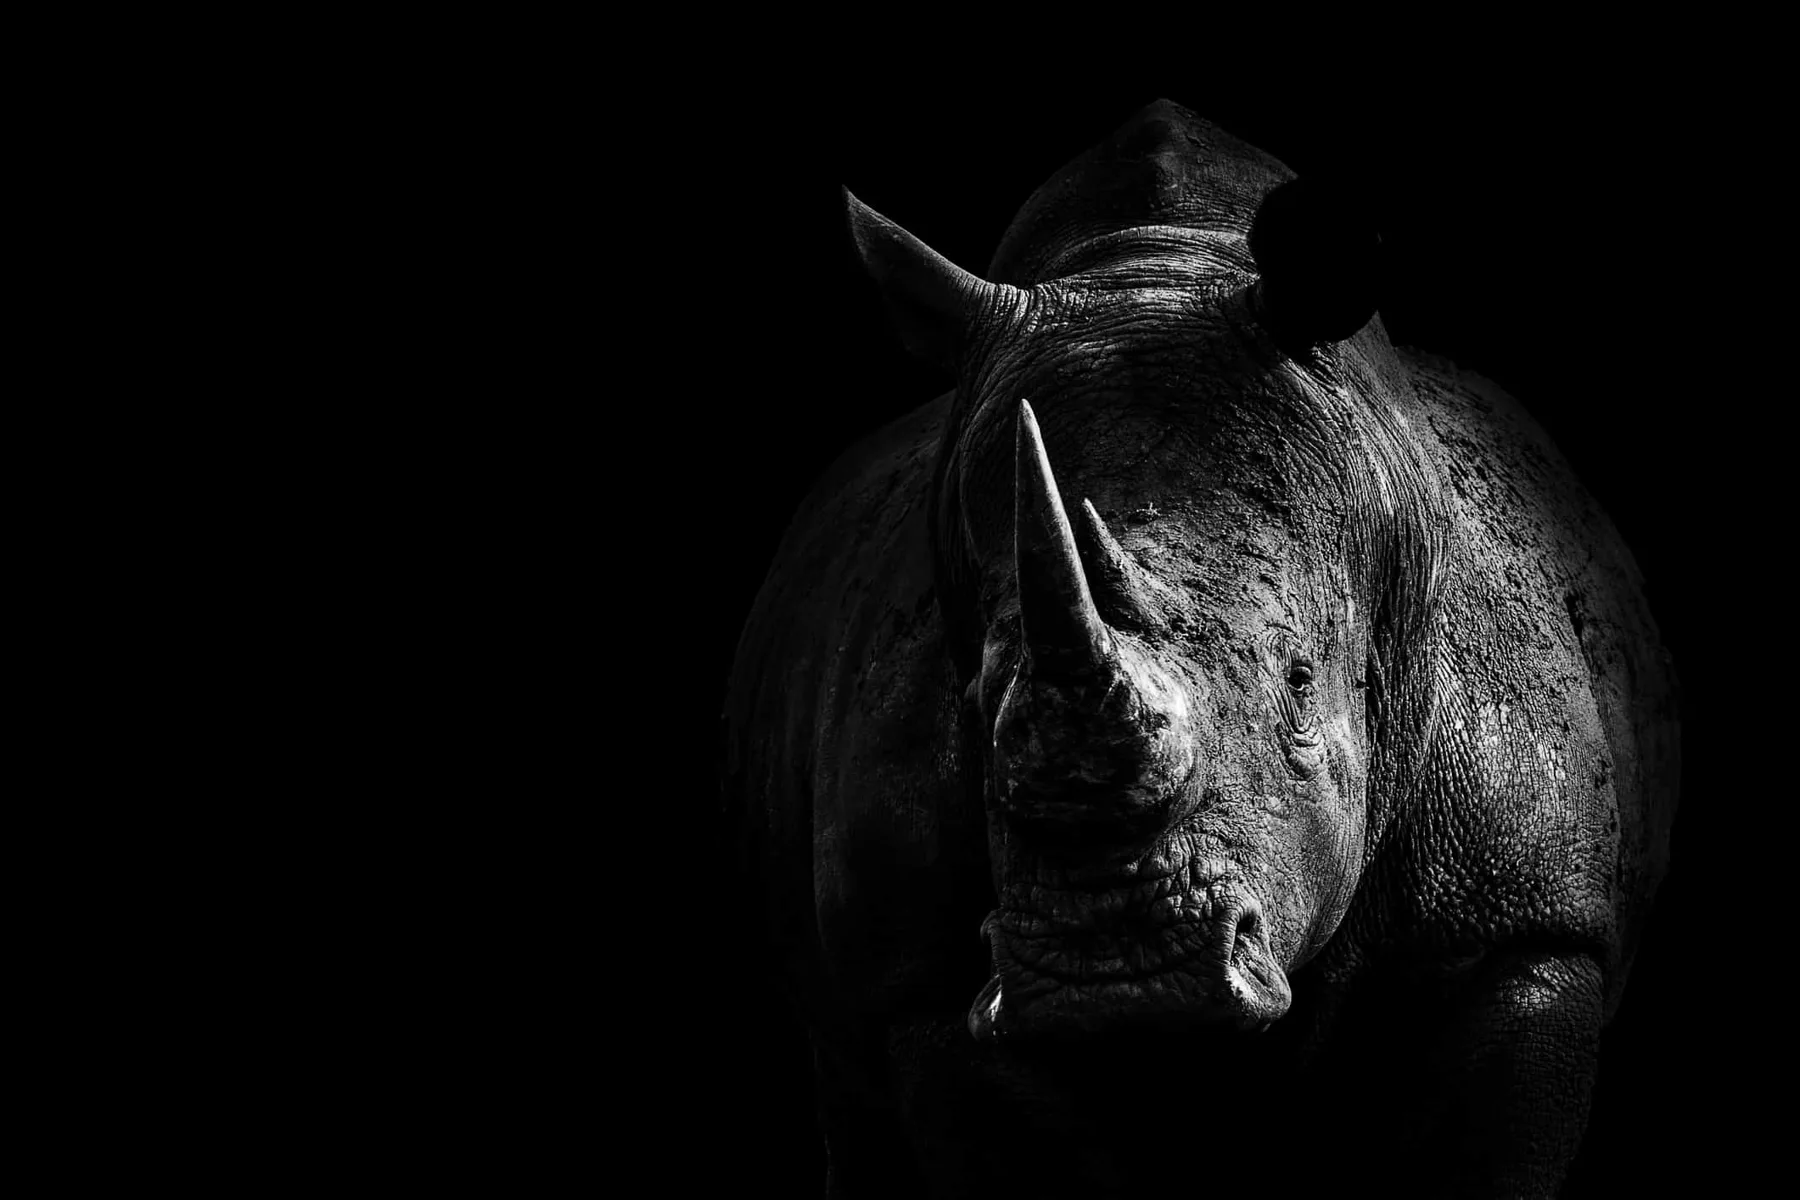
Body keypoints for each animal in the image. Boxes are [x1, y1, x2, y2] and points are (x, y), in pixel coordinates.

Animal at [721, 99, 1679, 1198]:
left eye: (1302, 682)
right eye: (977, 706)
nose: (1118, 974)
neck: (1160, 260)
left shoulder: (1526, 936)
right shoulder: (912, 983)